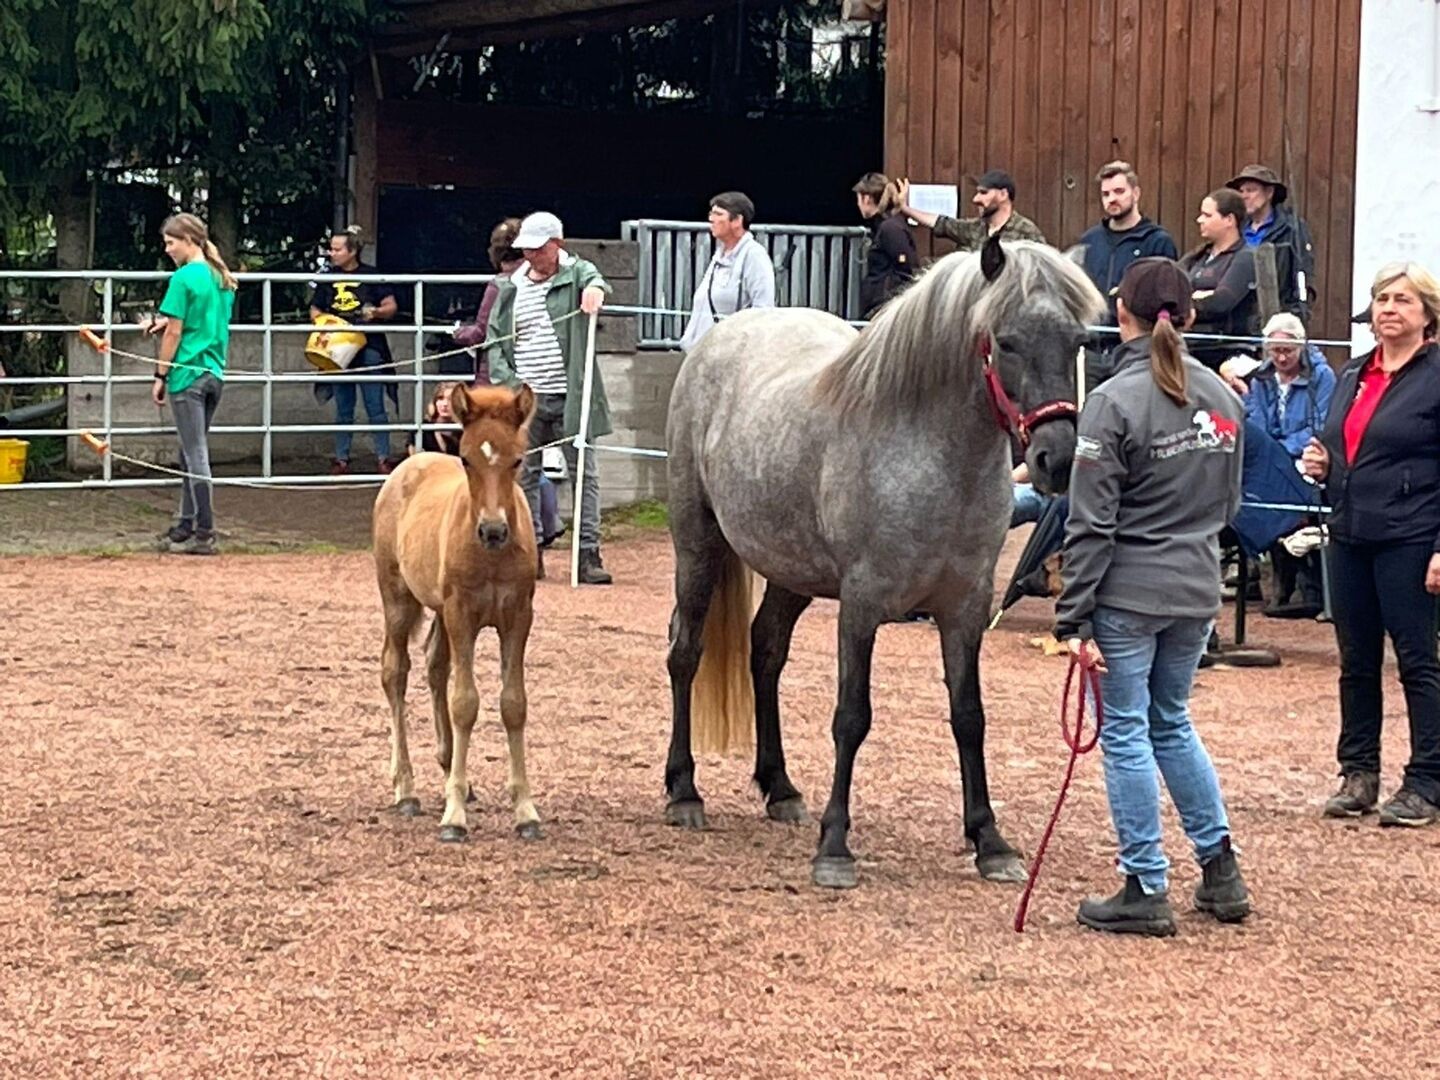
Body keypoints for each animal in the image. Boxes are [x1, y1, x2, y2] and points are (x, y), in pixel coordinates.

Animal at [371, 383, 542, 843]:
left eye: (517, 459)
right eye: (466, 458)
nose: (493, 530)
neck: (493, 556)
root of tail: (409, 462)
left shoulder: (518, 616)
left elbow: (513, 703)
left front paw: (525, 812)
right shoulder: (461, 613)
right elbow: (465, 702)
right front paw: (454, 817)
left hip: (438, 611)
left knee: (434, 665)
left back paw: (454, 774)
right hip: (399, 600)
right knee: (395, 671)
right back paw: (406, 789)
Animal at [663, 235, 1105, 888]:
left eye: (1076, 340)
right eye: (1005, 341)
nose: (1057, 459)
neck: (932, 456)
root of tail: (720, 337)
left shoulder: (965, 609)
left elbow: (969, 716)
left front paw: (990, 841)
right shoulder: (862, 605)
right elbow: (852, 717)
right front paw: (835, 848)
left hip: (791, 572)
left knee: (765, 652)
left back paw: (780, 788)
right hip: (698, 547)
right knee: (685, 653)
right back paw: (684, 791)